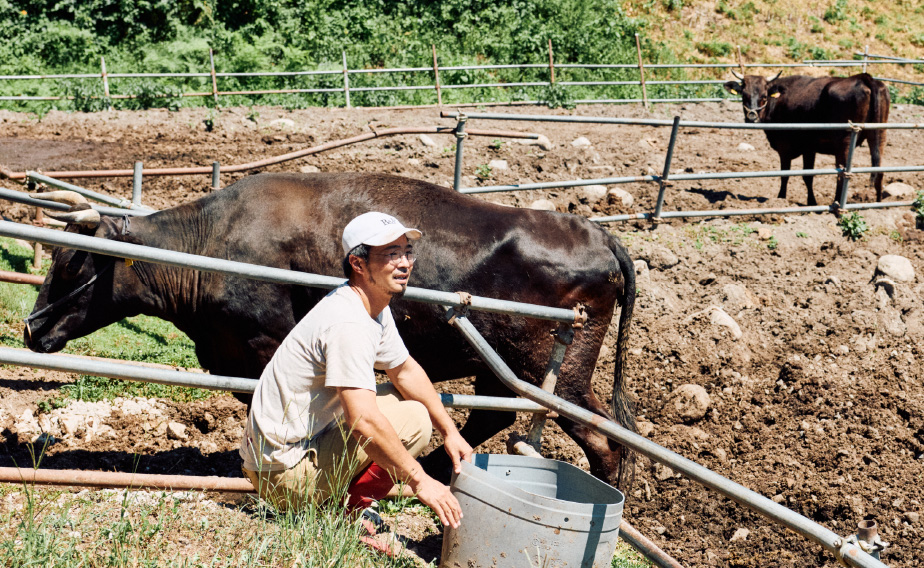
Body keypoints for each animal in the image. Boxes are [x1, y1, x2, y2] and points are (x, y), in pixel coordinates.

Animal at [23, 172, 637, 489]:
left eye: (73, 261)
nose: (30, 328)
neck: (212, 244)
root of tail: (597, 232)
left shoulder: (262, 348)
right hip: (502, 371)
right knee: (495, 419)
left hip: (558, 374)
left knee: (604, 440)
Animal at [723, 72, 890, 206]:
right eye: (744, 95)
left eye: (764, 96)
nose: (752, 117)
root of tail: (863, 78)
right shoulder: (809, 148)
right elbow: (808, 176)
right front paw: (810, 201)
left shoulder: (785, 147)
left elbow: (787, 174)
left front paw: (782, 198)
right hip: (879, 135)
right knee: (879, 171)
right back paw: (879, 203)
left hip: (845, 142)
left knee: (842, 175)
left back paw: (836, 203)